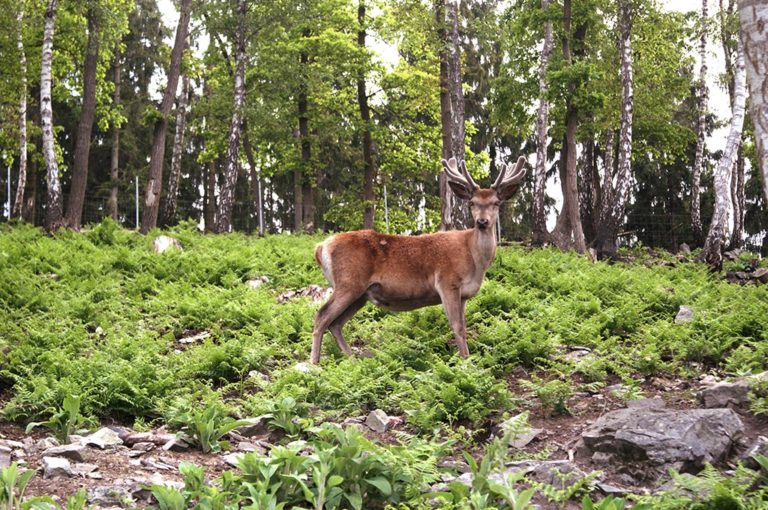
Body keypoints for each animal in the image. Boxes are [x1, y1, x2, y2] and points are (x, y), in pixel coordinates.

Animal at [308, 155, 524, 362]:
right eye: (472, 203)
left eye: (496, 203)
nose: (482, 222)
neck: (475, 261)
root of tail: (320, 248)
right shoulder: (447, 282)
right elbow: (458, 327)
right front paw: (465, 362)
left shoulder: (463, 294)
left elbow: (464, 326)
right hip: (348, 282)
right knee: (321, 316)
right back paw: (315, 363)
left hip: (360, 293)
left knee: (335, 323)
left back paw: (353, 360)